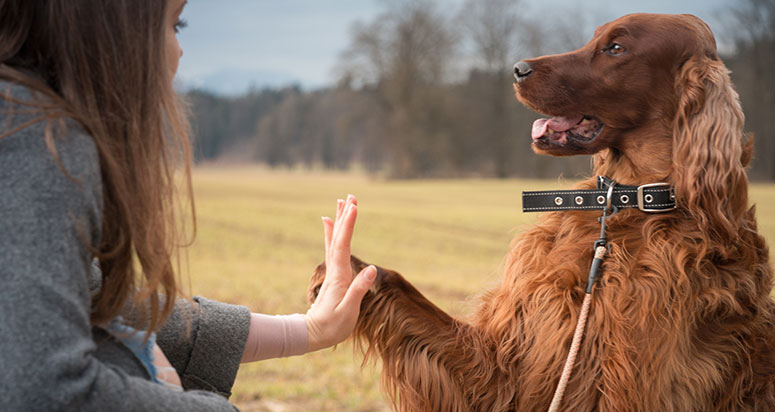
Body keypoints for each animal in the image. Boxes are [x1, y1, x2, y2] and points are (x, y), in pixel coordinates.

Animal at [310, 13, 775, 412]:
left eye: (616, 47)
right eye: (593, 38)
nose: (517, 68)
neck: (623, 206)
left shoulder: (630, 387)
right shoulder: (504, 369)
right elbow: (411, 298)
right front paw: (345, 273)